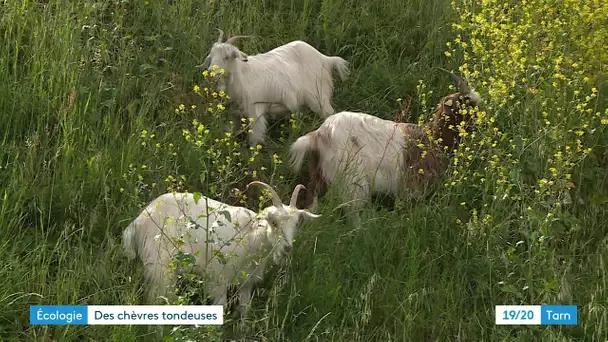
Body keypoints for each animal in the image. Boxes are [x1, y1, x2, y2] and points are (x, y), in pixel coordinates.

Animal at [124, 182, 324, 318]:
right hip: (160, 266)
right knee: (157, 299)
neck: (250, 237)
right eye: (273, 222)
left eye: (297, 224)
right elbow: (220, 307)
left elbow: (244, 310)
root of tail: (137, 222)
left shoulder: (247, 282)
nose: (287, 248)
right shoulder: (217, 279)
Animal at [200, 29, 352, 146]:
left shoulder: (255, 112)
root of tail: (326, 59)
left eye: (226, 57)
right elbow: (230, 130)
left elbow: (255, 139)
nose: (210, 74)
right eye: (210, 56)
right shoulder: (235, 113)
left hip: (319, 98)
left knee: (329, 113)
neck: (241, 76)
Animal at [288, 69, 482, 214]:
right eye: (467, 107)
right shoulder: (414, 188)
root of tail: (320, 134)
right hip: (353, 182)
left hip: (320, 174)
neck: (433, 138)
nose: (482, 124)